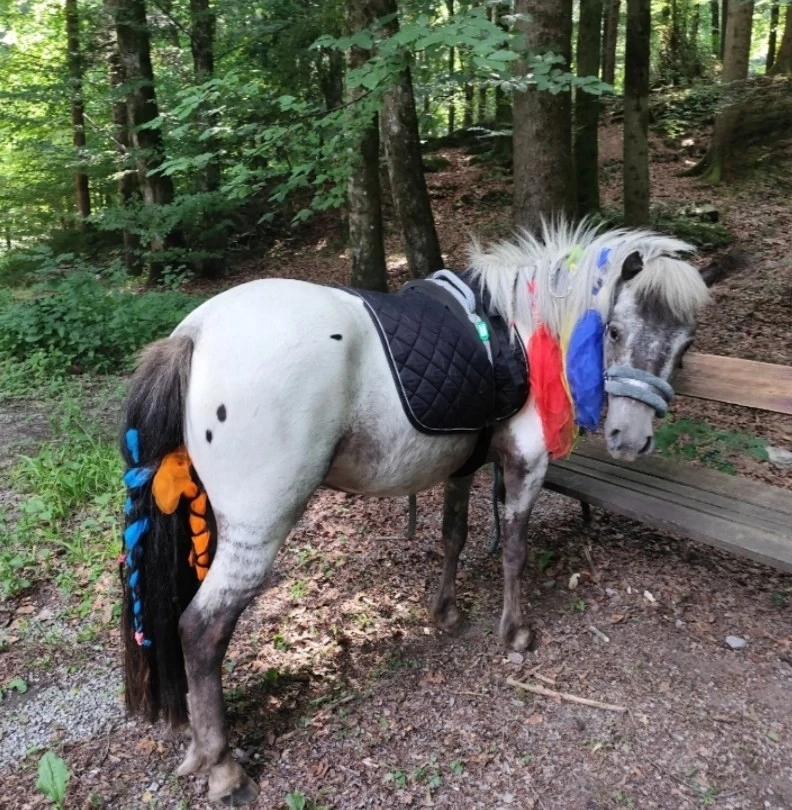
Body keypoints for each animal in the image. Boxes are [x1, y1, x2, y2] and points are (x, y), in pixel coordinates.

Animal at [119, 220, 711, 804]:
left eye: (684, 346)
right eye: (614, 331)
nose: (630, 439)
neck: (523, 332)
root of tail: (195, 334)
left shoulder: (463, 464)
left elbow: (454, 536)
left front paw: (446, 614)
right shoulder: (526, 461)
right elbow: (514, 550)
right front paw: (515, 633)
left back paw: (200, 748)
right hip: (256, 530)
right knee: (201, 629)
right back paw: (224, 770)